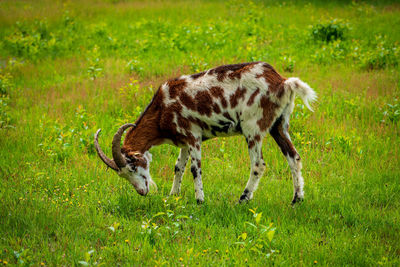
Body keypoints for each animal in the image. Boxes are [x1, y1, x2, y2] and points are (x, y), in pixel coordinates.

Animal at [94, 62, 316, 205]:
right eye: (122, 175)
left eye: (132, 167)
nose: (141, 191)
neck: (162, 108)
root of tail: (283, 82)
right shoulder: (183, 141)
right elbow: (178, 167)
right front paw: (173, 195)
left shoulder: (193, 136)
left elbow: (194, 169)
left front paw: (200, 200)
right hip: (279, 125)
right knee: (293, 157)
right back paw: (297, 199)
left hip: (253, 127)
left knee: (258, 164)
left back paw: (243, 199)